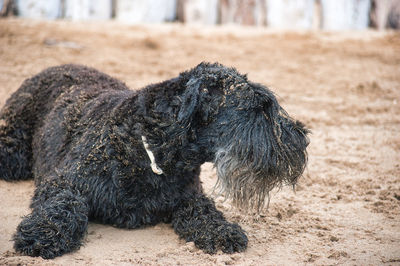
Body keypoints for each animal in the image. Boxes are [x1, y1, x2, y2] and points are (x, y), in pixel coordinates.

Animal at [0, 61, 310, 258]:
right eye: (258, 107)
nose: (303, 139)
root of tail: (51, 69)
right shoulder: (63, 180)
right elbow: (66, 202)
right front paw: (43, 233)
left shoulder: (188, 196)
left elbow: (203, 211)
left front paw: (221, 231)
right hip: (12, 154)